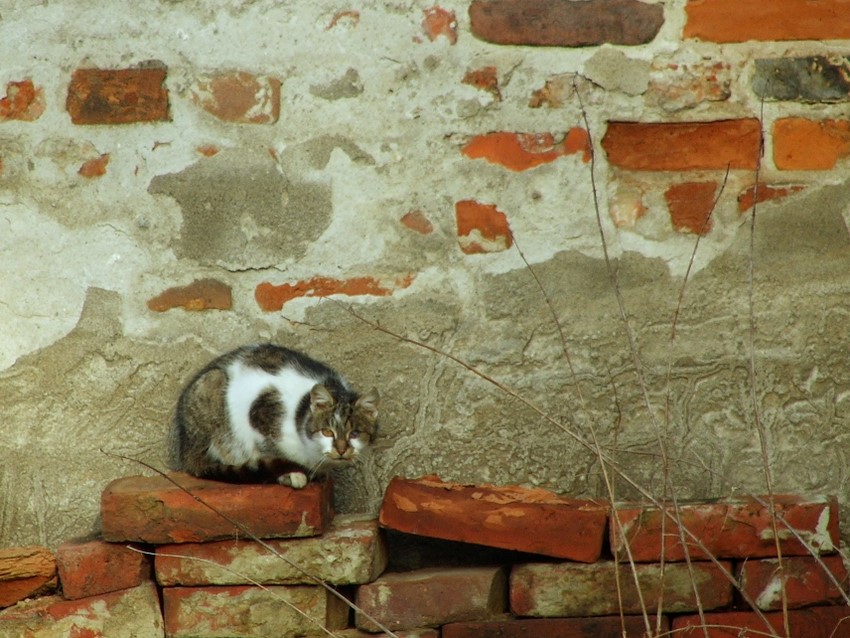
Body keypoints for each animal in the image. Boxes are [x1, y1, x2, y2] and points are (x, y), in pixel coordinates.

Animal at [166, 344, 378, 490]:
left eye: (355, 434)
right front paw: (292, 474)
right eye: (327, 432)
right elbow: (270, 450)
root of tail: (186, 451)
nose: (342, 450)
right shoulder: (259, 414)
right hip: (212, 385)